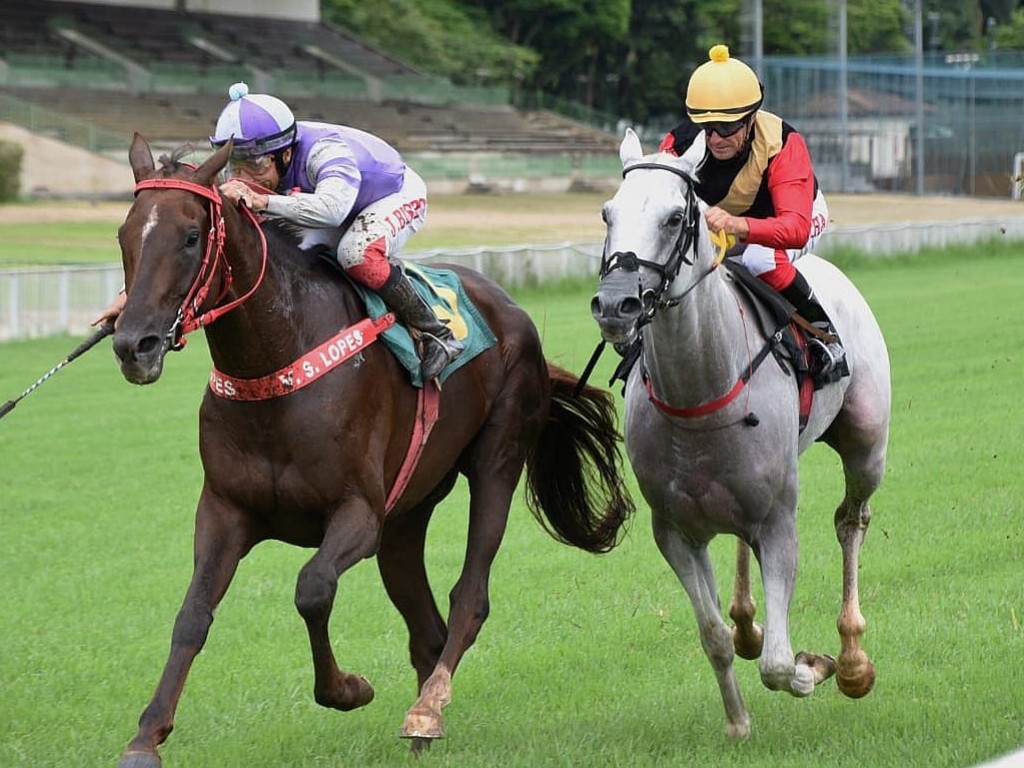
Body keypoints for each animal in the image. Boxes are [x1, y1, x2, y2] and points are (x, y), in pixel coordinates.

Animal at [108, 134, 626, 768]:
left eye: (189, 236)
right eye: (125, 234)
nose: (134, 345)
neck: (276, 367)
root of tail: (509, 307)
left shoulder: (357, 512)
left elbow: (312, 589)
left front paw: (348, 689)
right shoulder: (225, 510)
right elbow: (192, 615)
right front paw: (146, 736)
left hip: (496, 460)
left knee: (469, 596)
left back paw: (427, 710)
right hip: (407, 514)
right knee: (425, 624)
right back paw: (426, 714)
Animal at [589, 129, 892, 741]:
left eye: (675, 216)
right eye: (608, 212)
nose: (615, 304)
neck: (698, 394)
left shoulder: (779, 521)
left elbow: (779, 662)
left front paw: (814, 666)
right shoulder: (674, 531)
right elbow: (713, 638)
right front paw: (737, 723)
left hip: (867, 444)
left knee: (851, 521)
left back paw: (852, 660)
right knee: (740, 548)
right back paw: (748, 623)